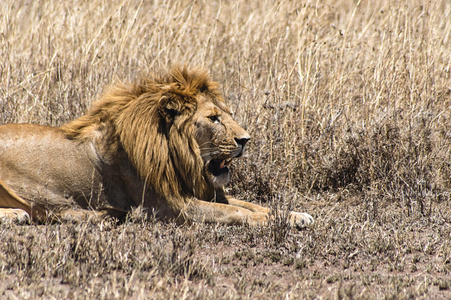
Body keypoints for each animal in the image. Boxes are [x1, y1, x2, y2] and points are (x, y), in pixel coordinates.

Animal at [0, 66, 314, 227]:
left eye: (229, 114)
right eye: (213, 118)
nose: (245, 140)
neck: (179, 156)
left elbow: (252, 204)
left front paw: (296, 216)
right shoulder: (171, 207)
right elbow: (236, 212)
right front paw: (268, 221)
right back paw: (21, 215)